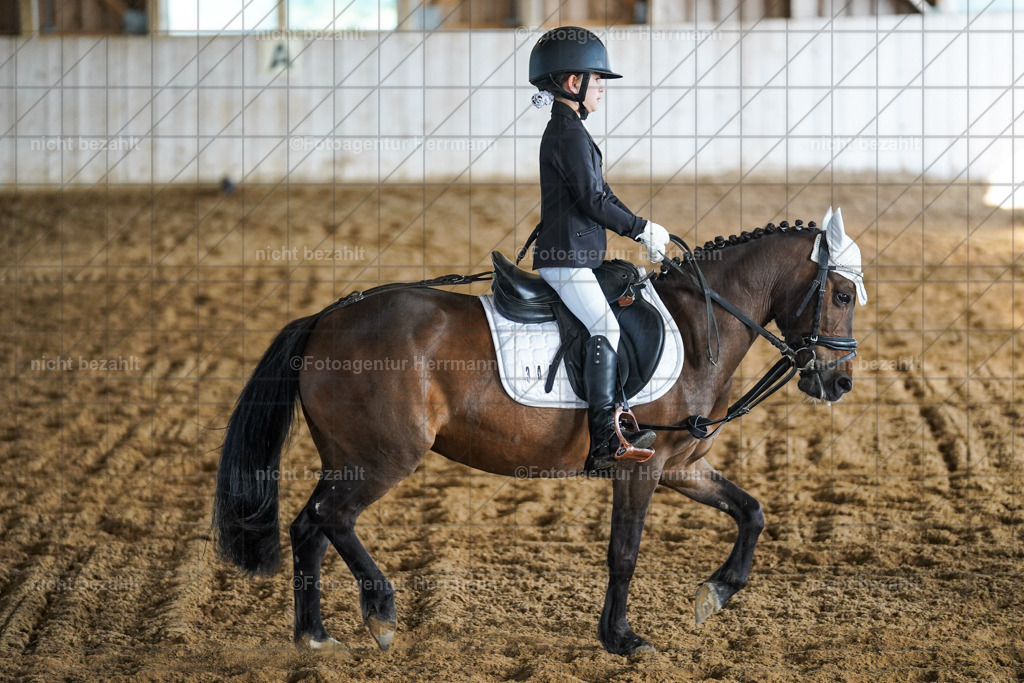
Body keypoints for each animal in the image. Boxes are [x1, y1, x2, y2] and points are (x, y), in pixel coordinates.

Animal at [213, 216, 861, 656]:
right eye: (843, 293)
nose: (839, 382)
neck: (700, 327)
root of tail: (325, 318)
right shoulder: (641, 465)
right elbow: (624, 552)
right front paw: (622, 638)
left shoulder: (680, 465)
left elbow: (751, 511)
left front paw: (716, 593)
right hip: (384, 458)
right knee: (333, 518)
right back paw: (381, 612)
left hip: (346, 457)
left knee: (310, 527)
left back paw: (316, 638)